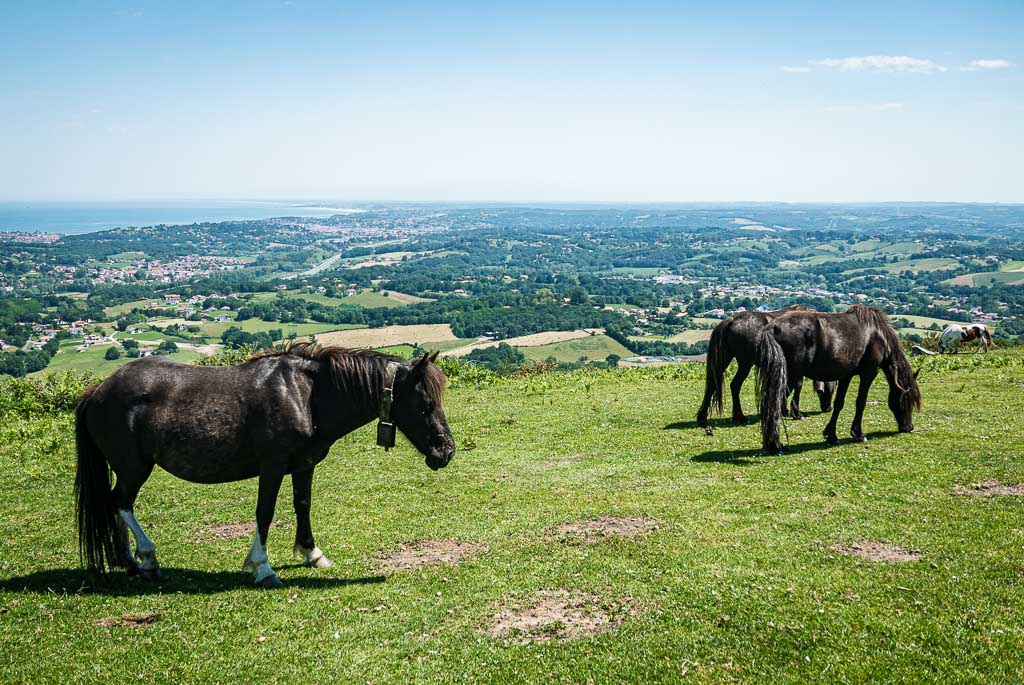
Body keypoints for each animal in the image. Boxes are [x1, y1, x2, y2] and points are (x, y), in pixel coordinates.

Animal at [75, 344, 455, 588]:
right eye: (424, 405)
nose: (445, 452)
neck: (306, 397)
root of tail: (98, 391)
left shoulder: (304, 465)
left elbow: (303, 504)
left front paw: (312, 554)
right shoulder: (272, 468)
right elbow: (264, 513)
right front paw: (262, 567)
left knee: (118, 505)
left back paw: (131, 561)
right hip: (134, 468)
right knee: (120, 503)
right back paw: (144, 558)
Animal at [696, 306, 836, 431]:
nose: (828, 408)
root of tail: (731, 320)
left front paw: (784, 409)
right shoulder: (797, 367)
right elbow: (797, 386)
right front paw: (795, 412)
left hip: (726, 359)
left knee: (712, 385)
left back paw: (703, 418)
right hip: (745, 363)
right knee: (735, 385)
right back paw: (739, 416)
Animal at [754, 305, 922, 454]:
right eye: (907, 400)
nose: (909, 427)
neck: (877, 334)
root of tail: (773, 327)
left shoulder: (846, 376)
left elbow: (839, 403)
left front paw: (831, 435)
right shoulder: (869, 373)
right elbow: (861, 402)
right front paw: (858, 434)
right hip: (790, 377)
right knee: (774, 404)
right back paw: (776, 445)